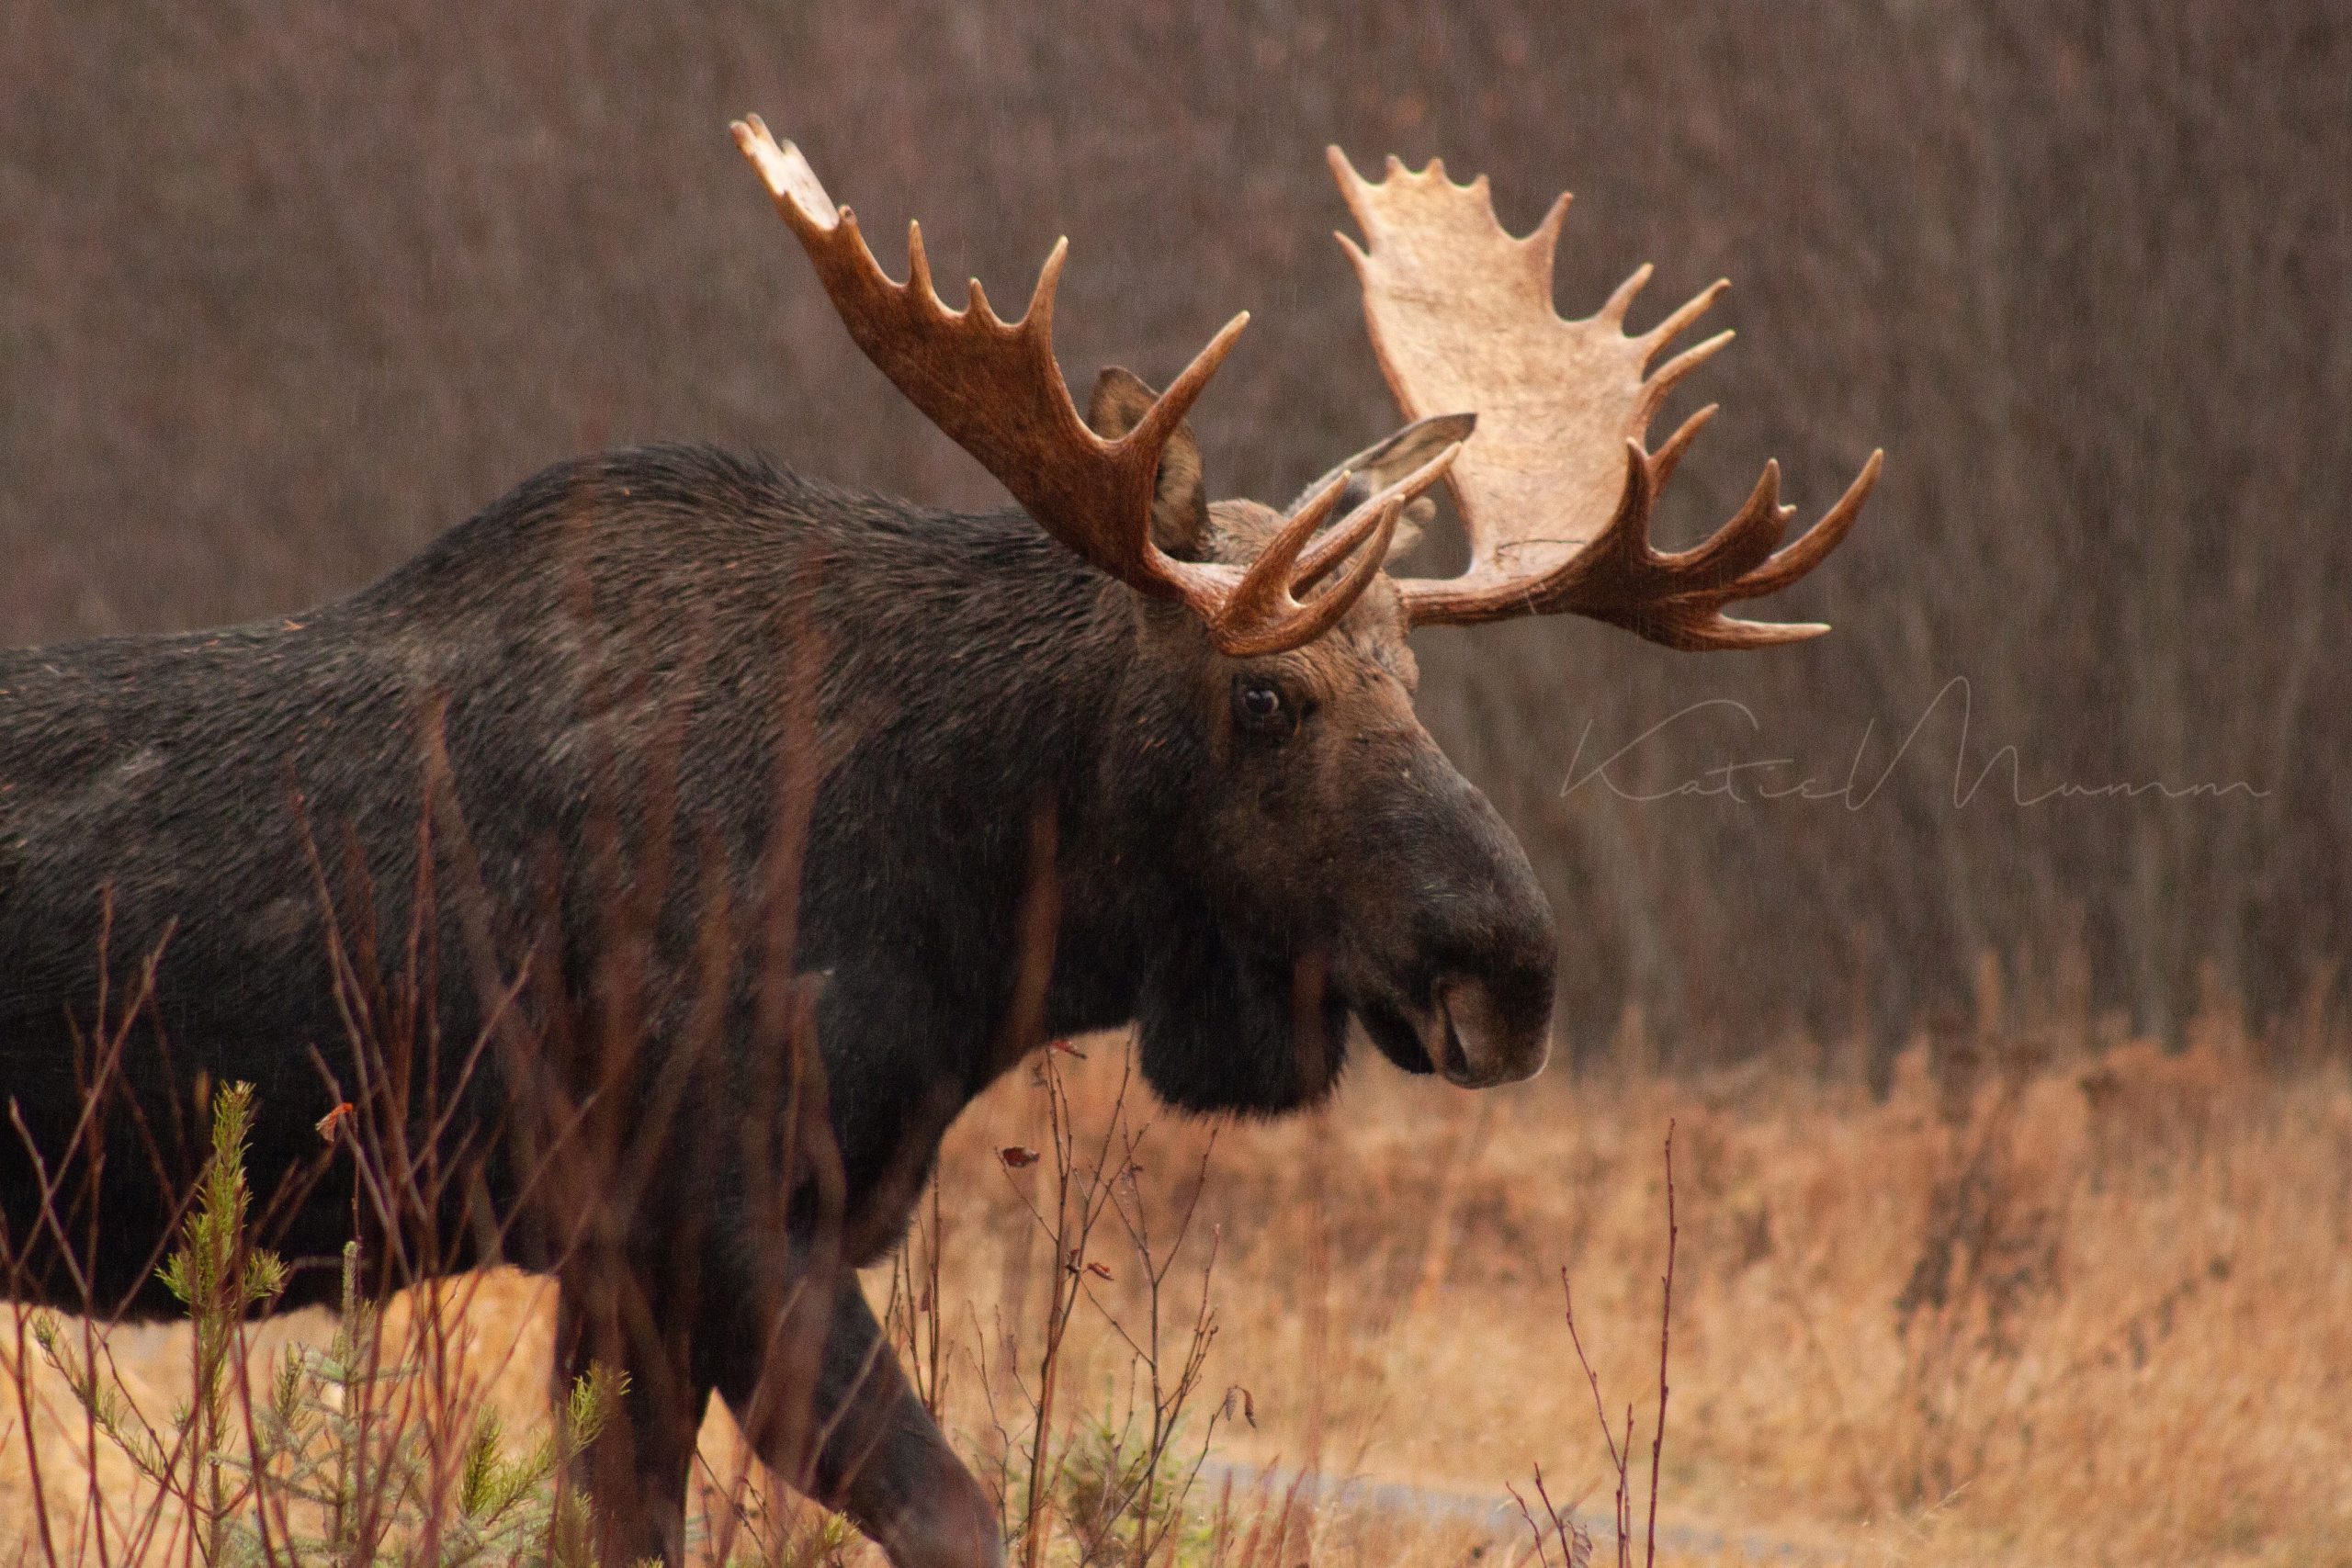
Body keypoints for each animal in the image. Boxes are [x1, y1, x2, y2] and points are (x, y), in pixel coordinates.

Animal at [0, 119, 1871, 1568]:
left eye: (1414, 673)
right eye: (1264, 695)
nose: (1512, 966)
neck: (972, 910)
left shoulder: (633, 1251)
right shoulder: (718, 1212)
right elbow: (955, 1511)